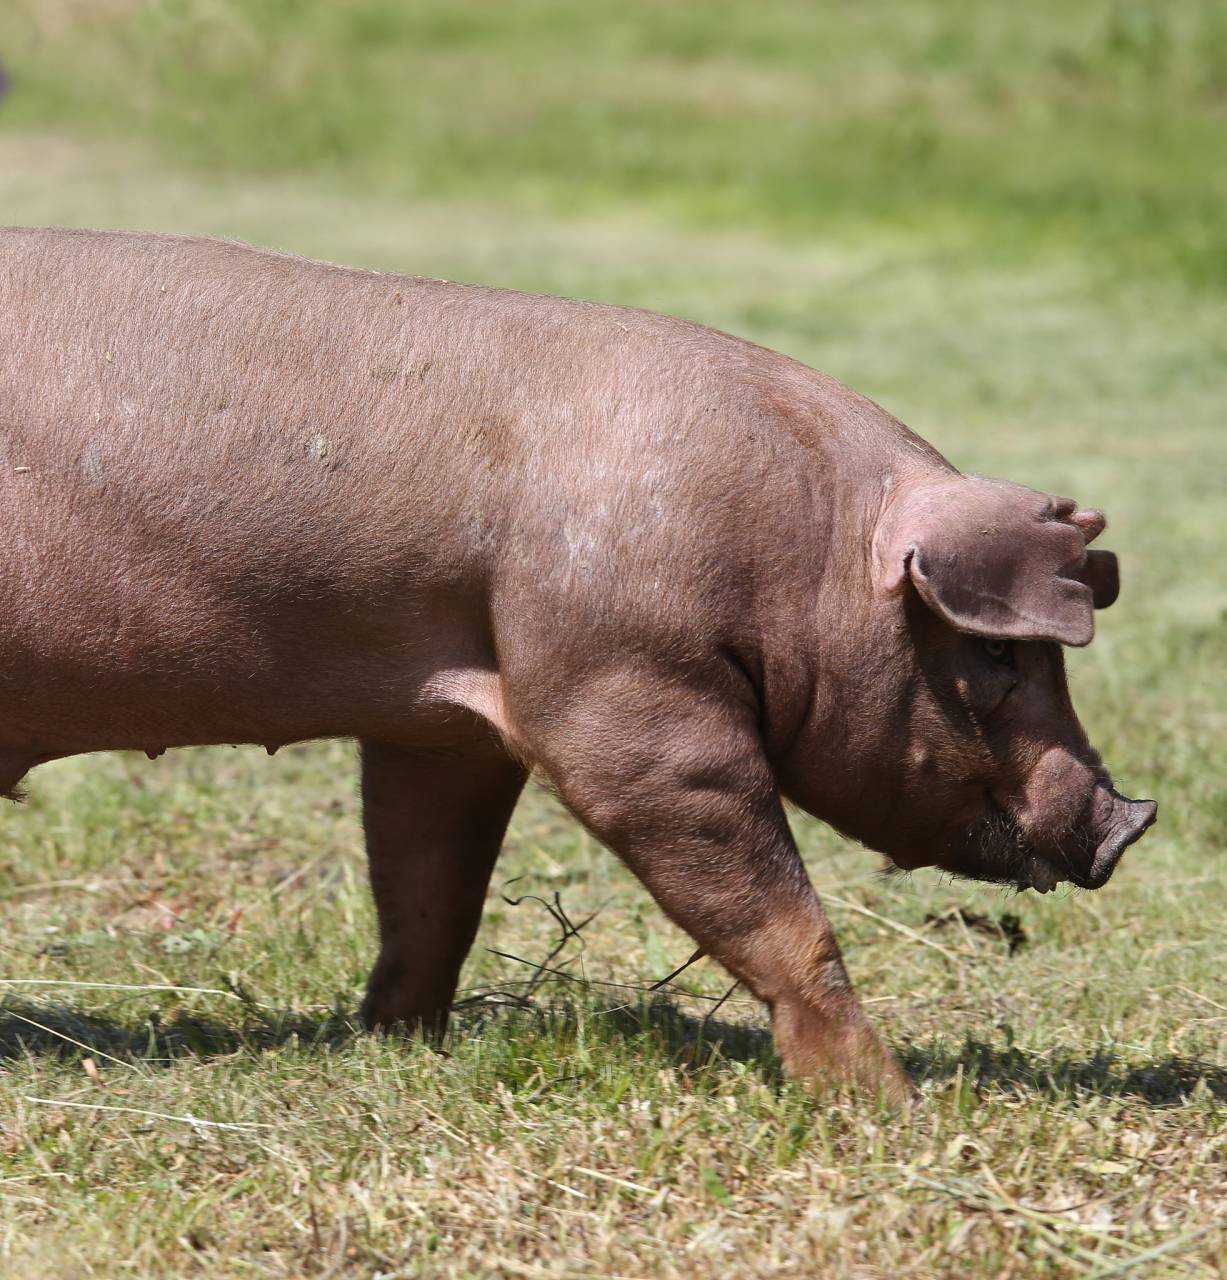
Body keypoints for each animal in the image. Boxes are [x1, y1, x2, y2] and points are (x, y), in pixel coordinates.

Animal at [0, 227, 1156, 1100]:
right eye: (995, 655)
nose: (1129, 819)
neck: (799, 550)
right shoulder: (623, 697)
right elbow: (776, 910)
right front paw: (887, 1107)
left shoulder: (443, 721)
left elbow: (430, 890)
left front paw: (393, 1041)